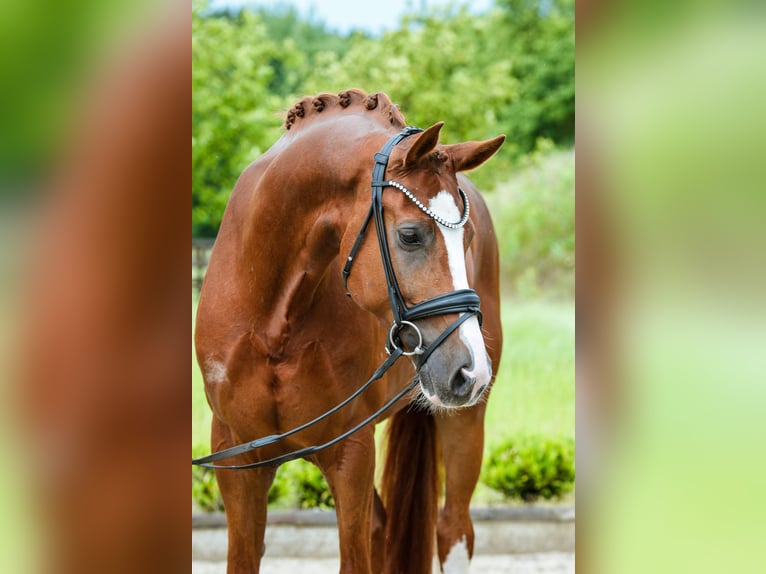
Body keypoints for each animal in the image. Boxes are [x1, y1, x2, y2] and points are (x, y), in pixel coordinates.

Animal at [194, 89, 505, 574]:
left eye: (467, 238)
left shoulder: (351, 454)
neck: (272, 318)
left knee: (453, 530)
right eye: (410, 235)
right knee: (381, 525)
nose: (470, 372)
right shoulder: (238, 457)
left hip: (465, 422)